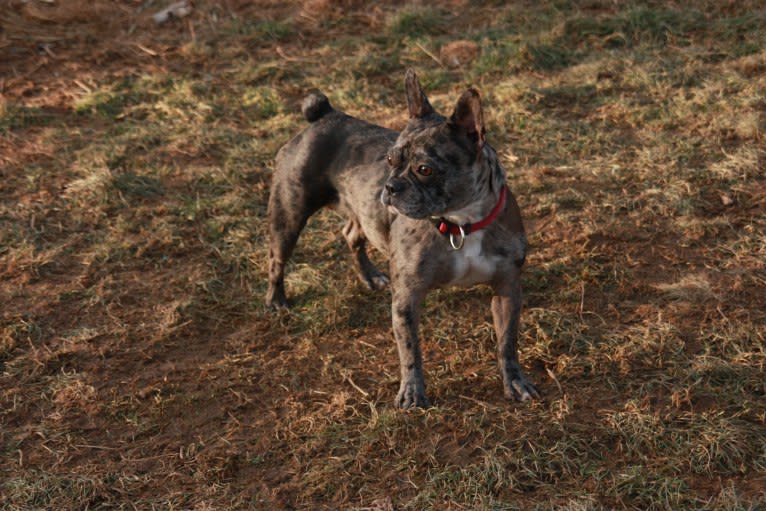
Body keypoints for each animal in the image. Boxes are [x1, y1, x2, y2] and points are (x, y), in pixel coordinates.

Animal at [268, 70, 544, 410]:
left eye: (424, 169)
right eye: (389, 159)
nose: (390, 186)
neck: (461, 223)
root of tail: (325, 115)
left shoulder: (507, 289)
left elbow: (507, 342)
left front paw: (514, 381)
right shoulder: (406, 298)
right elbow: (410, 348)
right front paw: (412, 392)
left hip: (362, 212)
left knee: (352, 234)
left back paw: (369, 276)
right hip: (288, 215)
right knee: (276, 258)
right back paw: (276, 300)